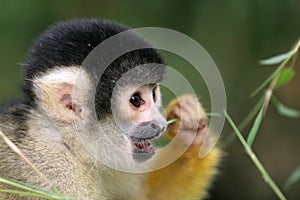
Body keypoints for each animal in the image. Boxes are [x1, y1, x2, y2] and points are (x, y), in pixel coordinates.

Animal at [0, 18, 220, 198]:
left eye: (153, 93)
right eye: (136, 100)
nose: (161, 124)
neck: (70, 144)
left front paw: (189, 130)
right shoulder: (56, 175)